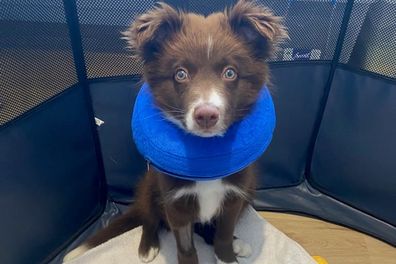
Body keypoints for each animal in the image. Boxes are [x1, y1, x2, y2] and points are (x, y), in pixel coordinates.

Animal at [64, 0, 288, 264]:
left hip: (250, 188)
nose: (206, 115)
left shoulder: (234, 196)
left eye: (230, 72)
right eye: (181, 74)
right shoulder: (174, 201)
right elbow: (185, 246)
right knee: (149, 217)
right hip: (150, 185)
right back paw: (148, 245)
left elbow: (222, 233)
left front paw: (226, 255)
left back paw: (237, 243)